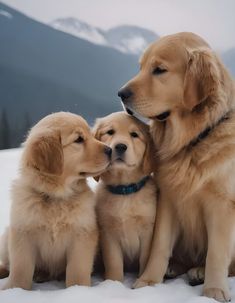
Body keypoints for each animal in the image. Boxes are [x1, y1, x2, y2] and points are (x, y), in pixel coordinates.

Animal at [0, 112, 111, 292]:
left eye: (90, 134)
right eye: (79, 139)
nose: (111, 150)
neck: (56, 197)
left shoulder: (82, 235)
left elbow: (77, 270)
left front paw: (78, 290)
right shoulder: (22, 234)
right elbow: (20, 269)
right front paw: (15, 289)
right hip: (6, 237)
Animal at [92, 113, 157, 284]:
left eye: (134, 135)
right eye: (110, 132)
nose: (120, 146)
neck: (125, 192)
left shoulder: (148, 231)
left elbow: (145, 259)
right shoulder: (108, 233)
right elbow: (114, 262)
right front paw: (114, 283)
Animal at [118, 32, 235, 302]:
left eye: (159, 70)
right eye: (140, 67)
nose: (120, 93)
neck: (192, 141)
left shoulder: (222, 205)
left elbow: (216, 253)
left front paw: (214, 290)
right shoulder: (168, 198)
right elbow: (159, 245)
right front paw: (148, 281)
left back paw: (200, 271)